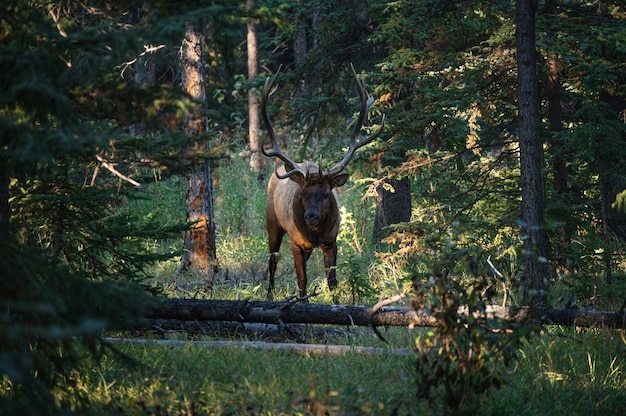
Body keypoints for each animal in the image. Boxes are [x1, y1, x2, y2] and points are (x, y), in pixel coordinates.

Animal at [258, 64, 380, 300]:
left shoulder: (331, 241)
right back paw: (269, 295)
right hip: (272, 223)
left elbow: (332, 282)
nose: (311, 216)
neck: (314, 234)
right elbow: (302, 282)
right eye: (303, 194)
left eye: (325, 194)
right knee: (272, 260)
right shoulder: (296, 242)